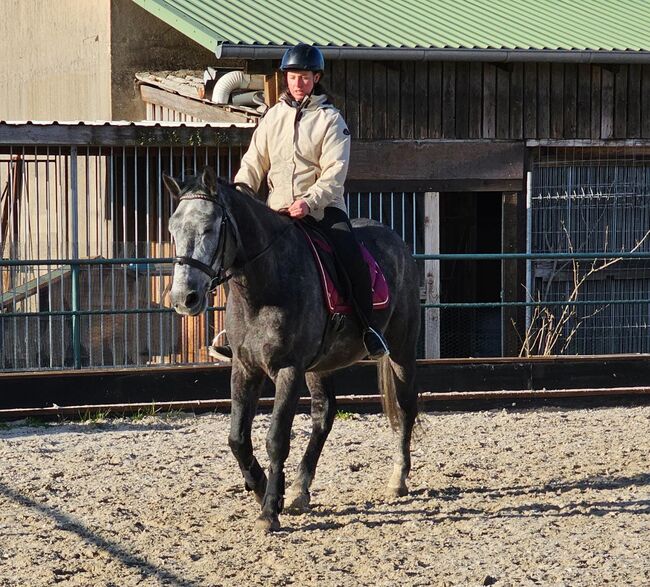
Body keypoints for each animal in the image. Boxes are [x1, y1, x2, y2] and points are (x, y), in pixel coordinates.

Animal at [165, 167, 420, 532]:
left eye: (210, 228)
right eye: (173, 229)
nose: (184, 298)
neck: (263, 285)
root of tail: (395, 239)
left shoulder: (288, 370)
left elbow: (276, 439)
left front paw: (270, 509)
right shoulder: (245, 367)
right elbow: (237, 438)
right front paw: (261, 488)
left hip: (401, 349)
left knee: (405, 407)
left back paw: (397, 480)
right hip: (320, 366)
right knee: (324, 416)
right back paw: (301, 490)